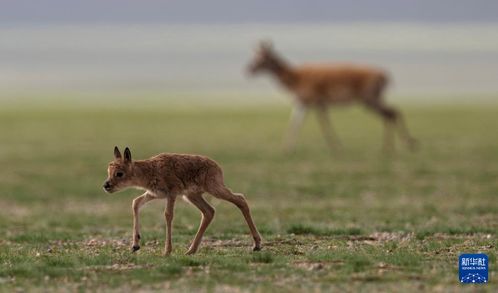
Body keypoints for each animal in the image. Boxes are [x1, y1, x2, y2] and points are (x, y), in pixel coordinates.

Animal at [102, 146, 262, 253]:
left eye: (119, 173)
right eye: (108, 171)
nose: (106, 185)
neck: (150, 170)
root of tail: (217, 167)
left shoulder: (172, 193)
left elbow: (168, 215)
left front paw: (167, 251)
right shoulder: (154, 194)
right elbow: (135, 203)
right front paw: (135, 245)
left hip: (214, 189)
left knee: (240, 199)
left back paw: (257, 244)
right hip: (192, 196)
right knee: (209, 211)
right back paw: (191, 250)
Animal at [248, 41, 416, 151]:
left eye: (262, 58)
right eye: (255, 56)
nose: (248, 69)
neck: (295, 77)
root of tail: (385, 74)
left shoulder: (315, 103)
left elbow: (323, 124)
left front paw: (336, 147)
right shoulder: (304, 103)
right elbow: (296, 123)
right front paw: (286, 147)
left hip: (369, 99)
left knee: (391, 113)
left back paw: (401, 145)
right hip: (373, 100)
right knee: (392, 112)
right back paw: (394, 146)